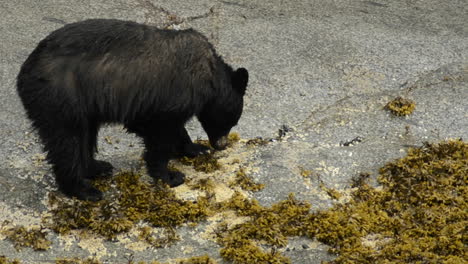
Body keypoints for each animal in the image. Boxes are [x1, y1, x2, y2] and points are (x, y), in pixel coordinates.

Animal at [16, 19, 249, 200]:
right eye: (233, 120)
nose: (221, 145)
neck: (209, 74)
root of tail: (25, 71)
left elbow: (171, 127)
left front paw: (196, 149)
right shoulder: (170, 95)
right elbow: (159, 133)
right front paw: (170, 176)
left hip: (81, 105)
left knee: (85, 134)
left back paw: (97, 167)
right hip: (61, 96)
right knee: (67, 142)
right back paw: (84, 189)